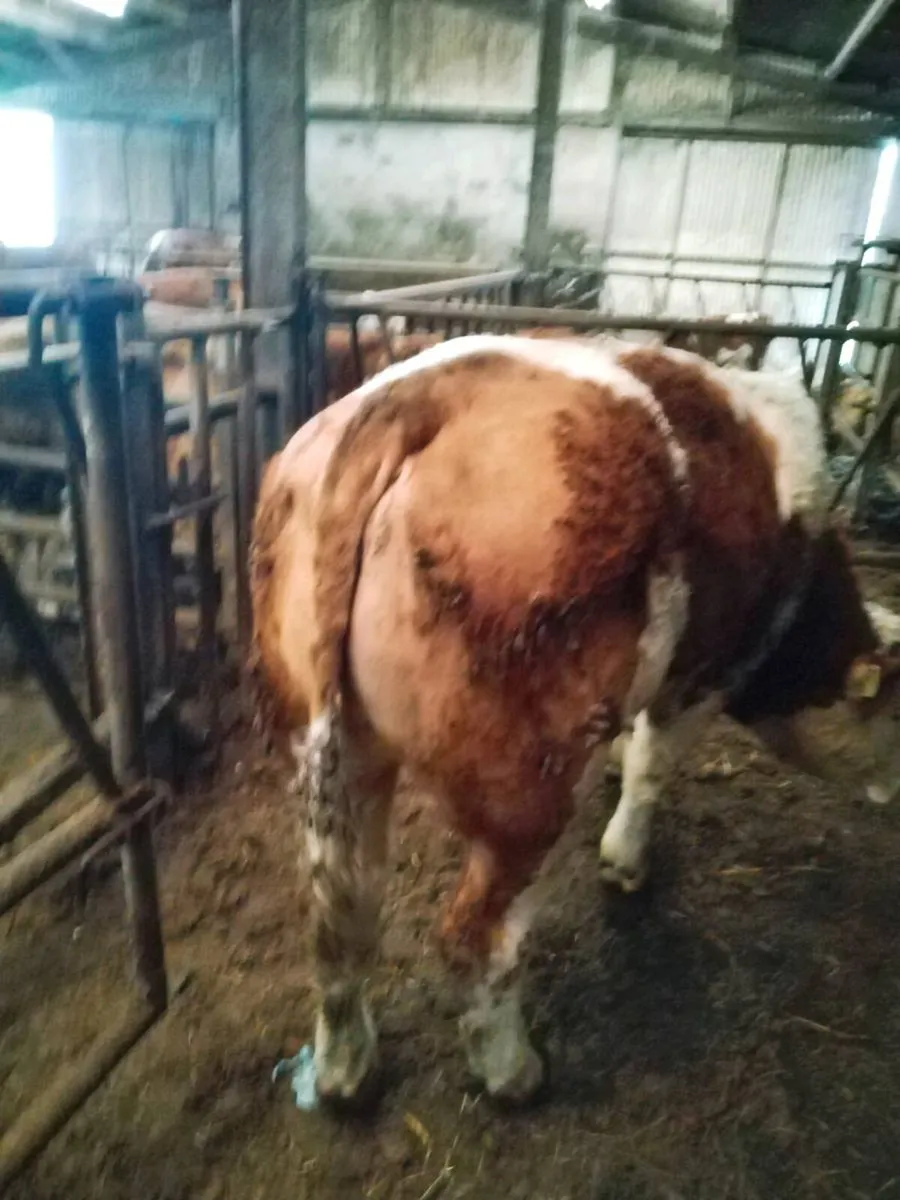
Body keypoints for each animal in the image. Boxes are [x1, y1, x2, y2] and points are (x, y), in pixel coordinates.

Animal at [249, 333, 900, 1108]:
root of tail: (417, 396)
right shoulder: (703, 671)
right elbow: (652, 765)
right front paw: (626, 860)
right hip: (530, 789)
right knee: (475, 935)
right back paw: (512, 1071)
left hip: (329, 745)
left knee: (340, 913)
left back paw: (345, 1071)